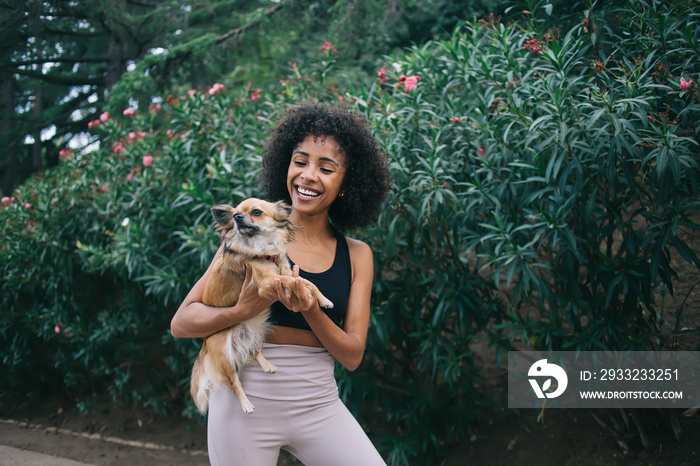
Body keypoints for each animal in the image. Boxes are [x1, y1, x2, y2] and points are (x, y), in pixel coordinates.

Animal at [191, 198, 334, 414]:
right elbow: (293, 282)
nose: (236, 217)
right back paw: (246, 405)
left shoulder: (285, 271)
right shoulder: (268, 281)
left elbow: (306, 282)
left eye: (256, 212)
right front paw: (309, 295)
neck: (262, 249)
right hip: (225, 355)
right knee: (234, 381)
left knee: (254, 350)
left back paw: (267, 365)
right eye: (236, 214)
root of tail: (204, 345)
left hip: (255, 331)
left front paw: (323, 299)